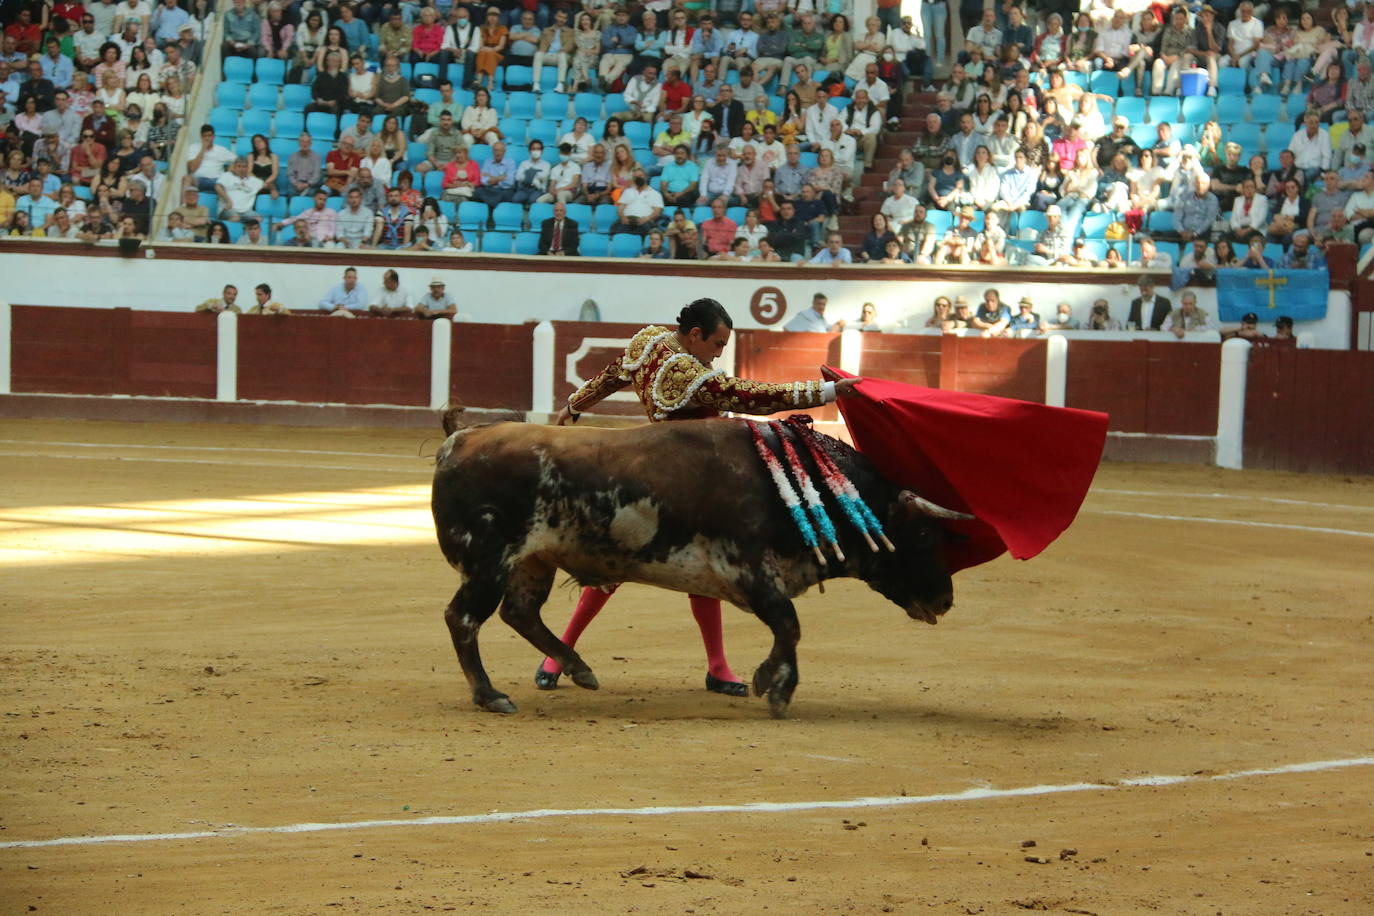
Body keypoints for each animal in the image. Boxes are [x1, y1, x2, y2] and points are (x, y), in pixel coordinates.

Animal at [428, 420, 967, 719]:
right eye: (924, 536)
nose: (945, 599)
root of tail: (460, 440)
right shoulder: (749, 569)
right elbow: (790, 625)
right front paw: (777, 689)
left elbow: (785, 628)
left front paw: (764, 680)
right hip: (489, 561)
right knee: (464, 619)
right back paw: (490, 695)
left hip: (531, 562)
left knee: (519, 614)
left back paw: (577, 669)